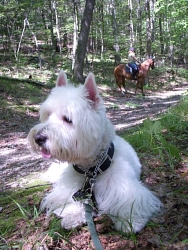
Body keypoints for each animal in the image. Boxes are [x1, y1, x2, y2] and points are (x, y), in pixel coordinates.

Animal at [27, 70, 162, 232]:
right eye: (48, 115)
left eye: (67, 119)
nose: (38, 138)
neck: (91, 170)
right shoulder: (73, 190)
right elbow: (71, 200)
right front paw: (72, 216)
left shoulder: (125, 188)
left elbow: (131, 203)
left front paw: (131, 222)